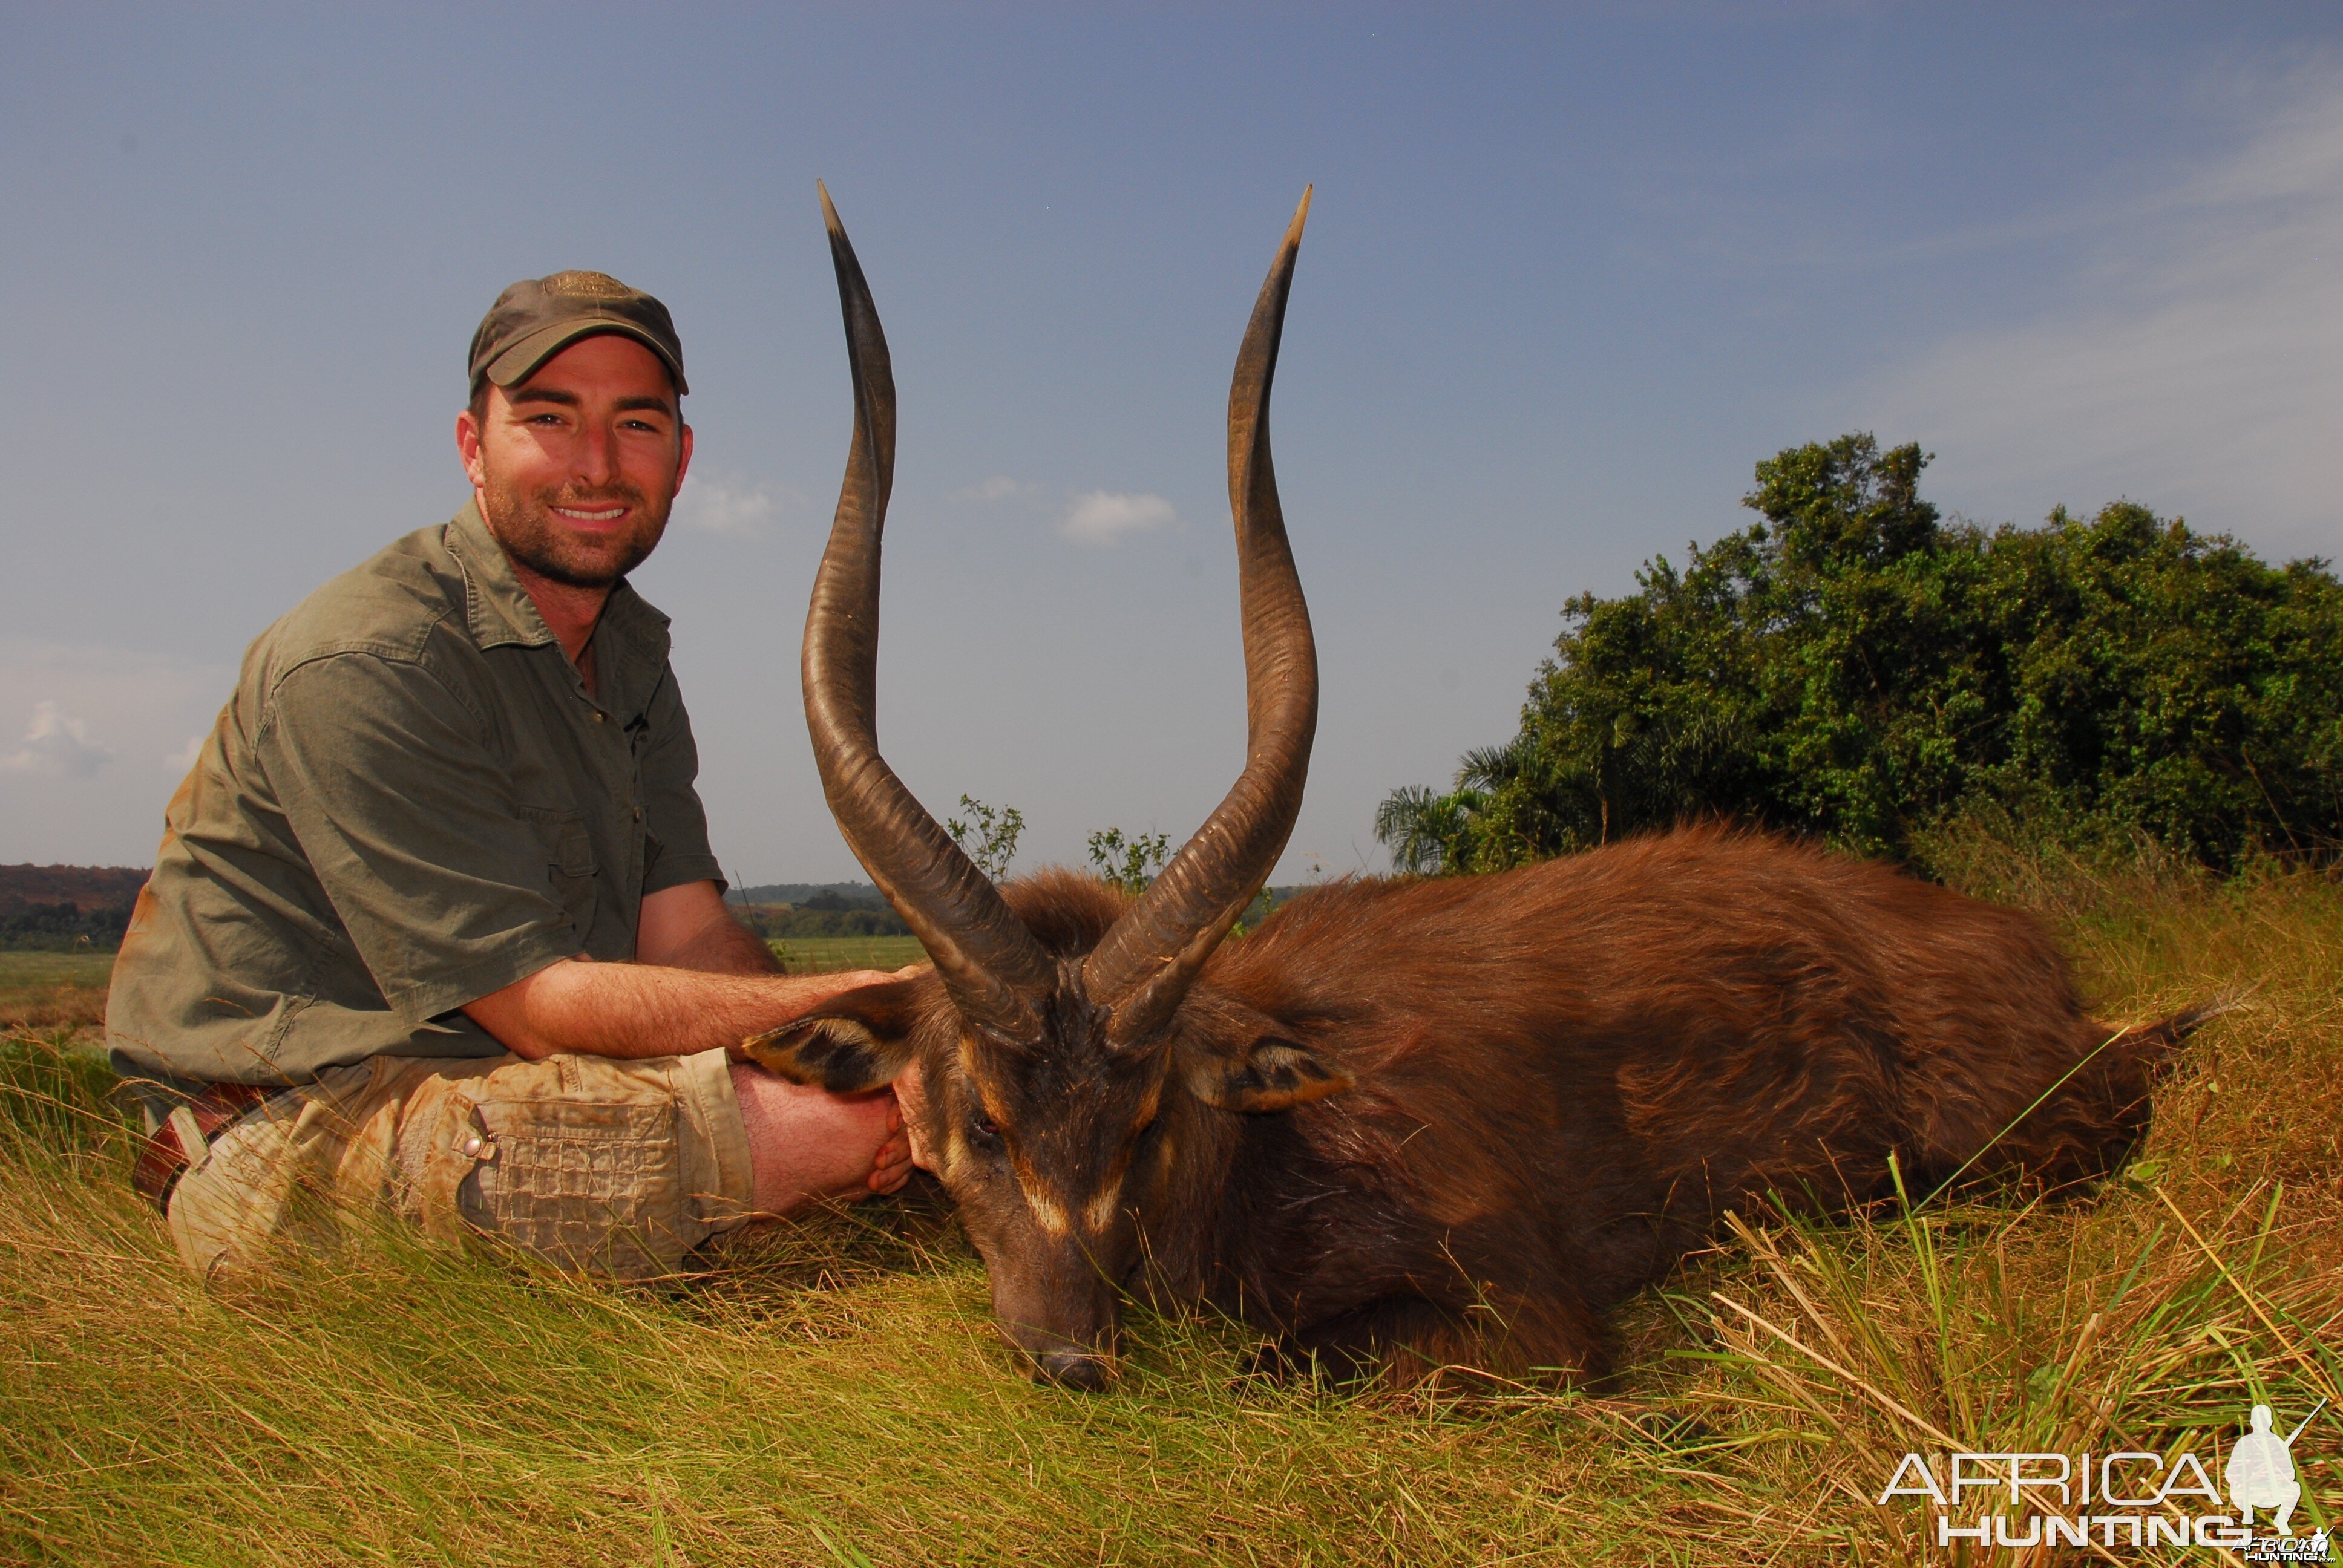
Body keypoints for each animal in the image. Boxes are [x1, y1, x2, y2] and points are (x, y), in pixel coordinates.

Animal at [750, 186, 2193, 1397]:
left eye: (1146, 1117)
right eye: (983, 1123)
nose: (1070, 1357)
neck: (1262, 1160)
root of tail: (2030, 952)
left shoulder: (1528, 1318)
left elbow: (1287, 1360)